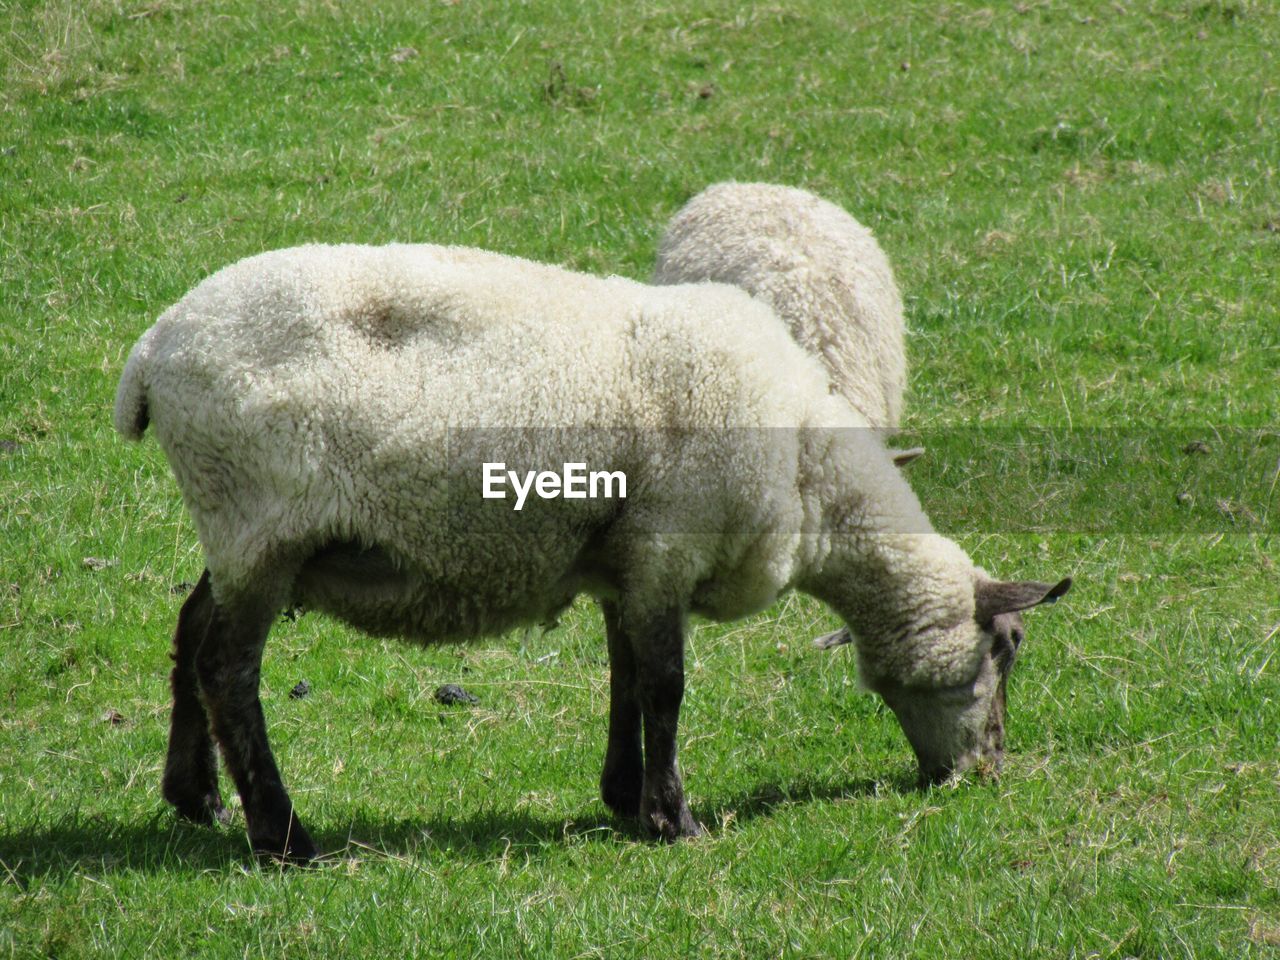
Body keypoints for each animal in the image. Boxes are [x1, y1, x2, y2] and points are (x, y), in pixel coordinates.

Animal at [115, 241, 1070, 865]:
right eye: (1008, 650)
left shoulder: (627, 562)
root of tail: (154, 349)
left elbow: (626, 677)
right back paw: (283, 836)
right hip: (257, 522)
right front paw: (675, 819)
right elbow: (666, 686)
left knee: (189, 630)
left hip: (238, 532)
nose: (987, 771)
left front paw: (625, 800)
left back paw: (195, 795)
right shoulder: (666, 546)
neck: (810, 475)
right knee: (227, 667)